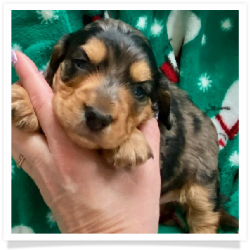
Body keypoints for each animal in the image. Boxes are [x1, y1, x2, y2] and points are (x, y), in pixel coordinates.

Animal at [12, 18, 238, 233]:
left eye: (139, 91)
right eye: (81, 63)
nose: (97, 117)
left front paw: (131, 143)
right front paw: (25, 99)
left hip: (203, 184)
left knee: (205, 219)